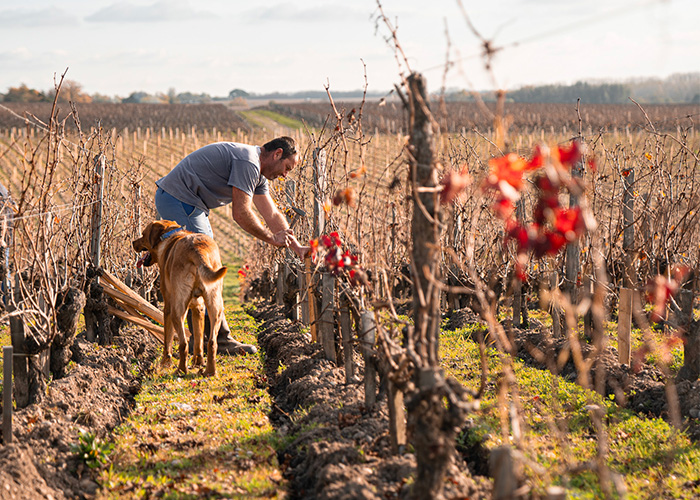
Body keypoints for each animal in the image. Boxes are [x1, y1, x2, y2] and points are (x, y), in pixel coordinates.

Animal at [132, 219, 227, 376]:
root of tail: (197, 251)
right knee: (212, 342)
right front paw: (198, 362)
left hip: (177, 310)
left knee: (183, 343)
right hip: (215, 306)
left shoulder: (168, 308)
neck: (169, 234)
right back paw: (210, 371)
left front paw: (165, 363)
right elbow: (198, 340)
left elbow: (168, 339)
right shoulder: (198, 308)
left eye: (143, 234)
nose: (133, 242)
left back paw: (181, 370)